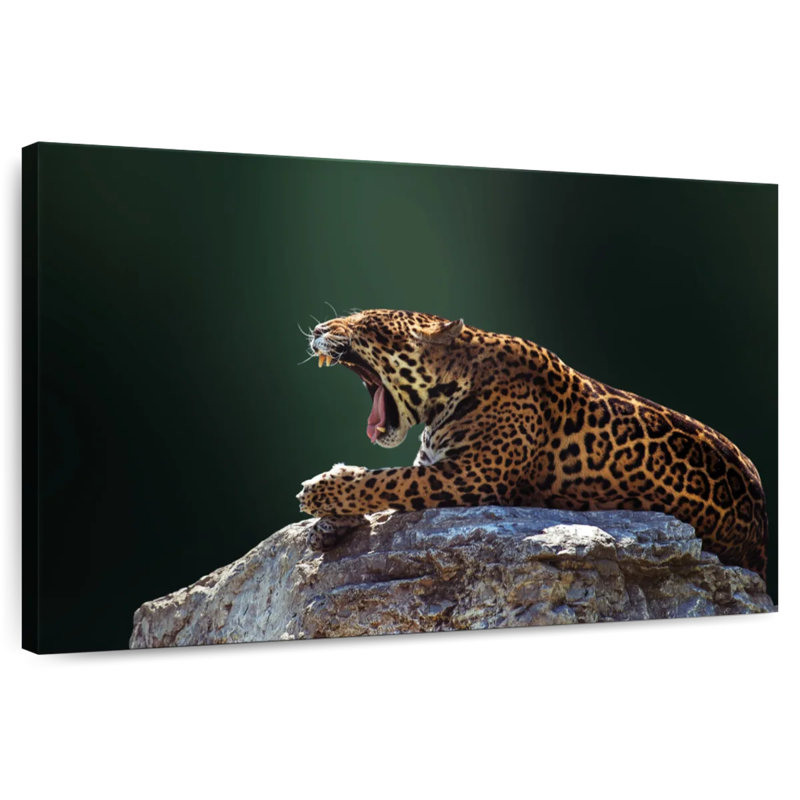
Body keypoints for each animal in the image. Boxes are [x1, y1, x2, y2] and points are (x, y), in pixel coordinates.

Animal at [297, 308, 768, 579]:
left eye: (364, 326)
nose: (318, 328)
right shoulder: (435, 462)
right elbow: (385, 481)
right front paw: (329, 523)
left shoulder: (469, 478)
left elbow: (389, 482)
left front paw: (322, 491)